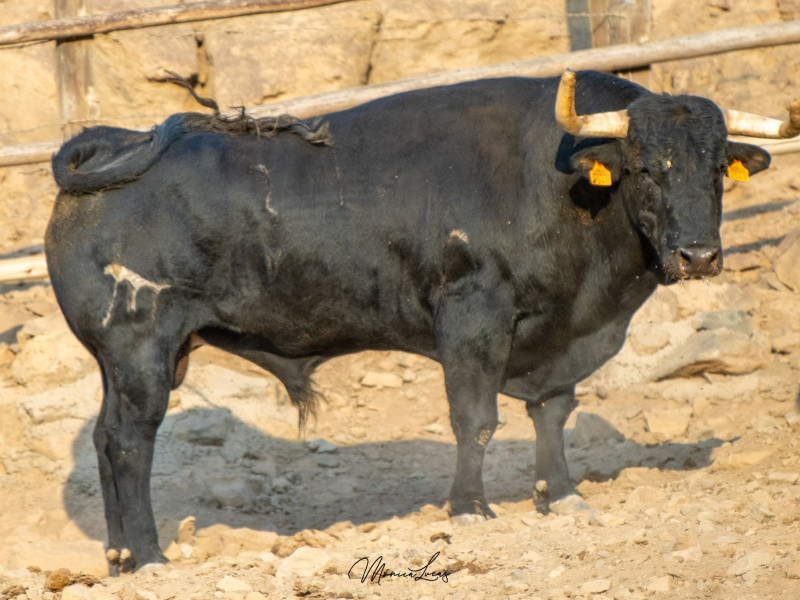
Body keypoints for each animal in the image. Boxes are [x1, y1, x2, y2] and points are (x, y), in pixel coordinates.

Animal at [47, 68, 772, 568]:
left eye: (718, 169)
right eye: (646, 167)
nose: (699, 255)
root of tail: (114, 142)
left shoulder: (561, 335)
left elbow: (553, 414)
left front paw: (561, 495)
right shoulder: (473, 319)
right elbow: (475, 420)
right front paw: (470, 509)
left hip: (129, 360)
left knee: (106, 441)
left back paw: (119, 557)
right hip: (141, 345)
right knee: (129, 443)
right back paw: (150, 556)